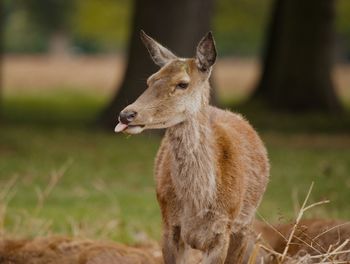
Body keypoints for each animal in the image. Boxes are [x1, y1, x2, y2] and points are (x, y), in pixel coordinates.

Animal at [115, 29, 270, 262]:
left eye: (182, 83)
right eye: (150, 80)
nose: (126, 114)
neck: (198, 203)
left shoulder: (222, 231)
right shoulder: (169, 225)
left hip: (245, 224)